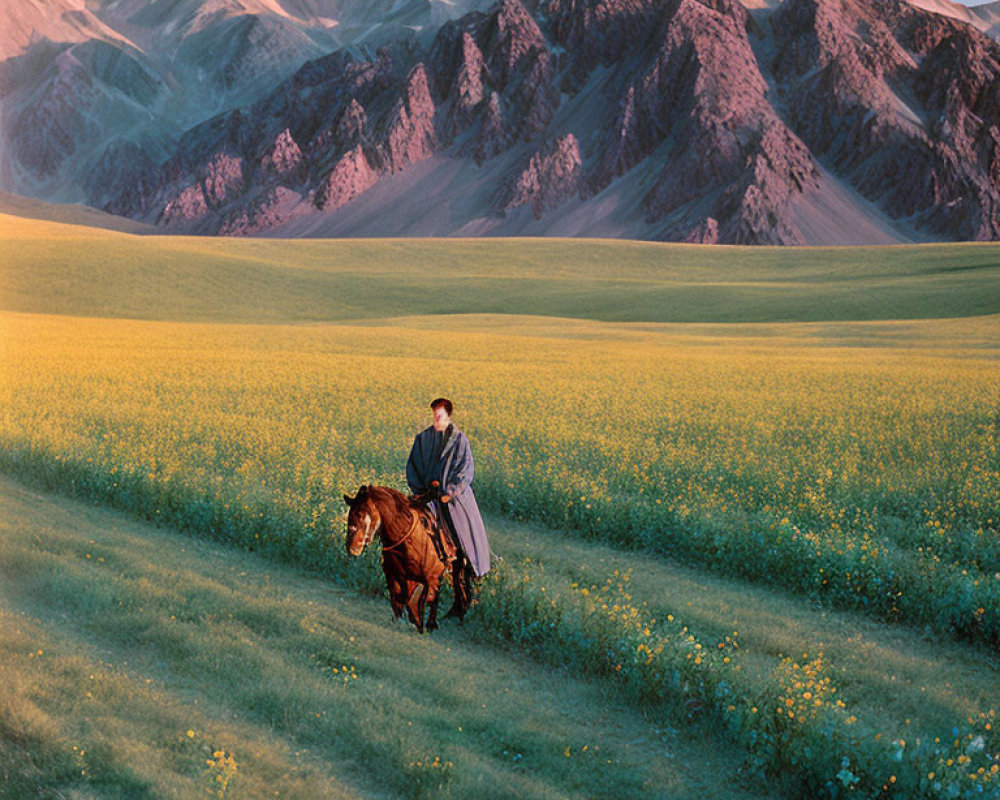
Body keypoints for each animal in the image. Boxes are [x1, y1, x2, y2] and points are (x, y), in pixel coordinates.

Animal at [342, 484, 474, 636]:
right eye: (350, 514)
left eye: (362, 514)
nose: (352, 547)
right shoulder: (395, 575)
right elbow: (399, 599)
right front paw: (405, 621)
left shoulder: (431, 577)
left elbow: (425, 599)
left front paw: (424, 624)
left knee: (457, 589)